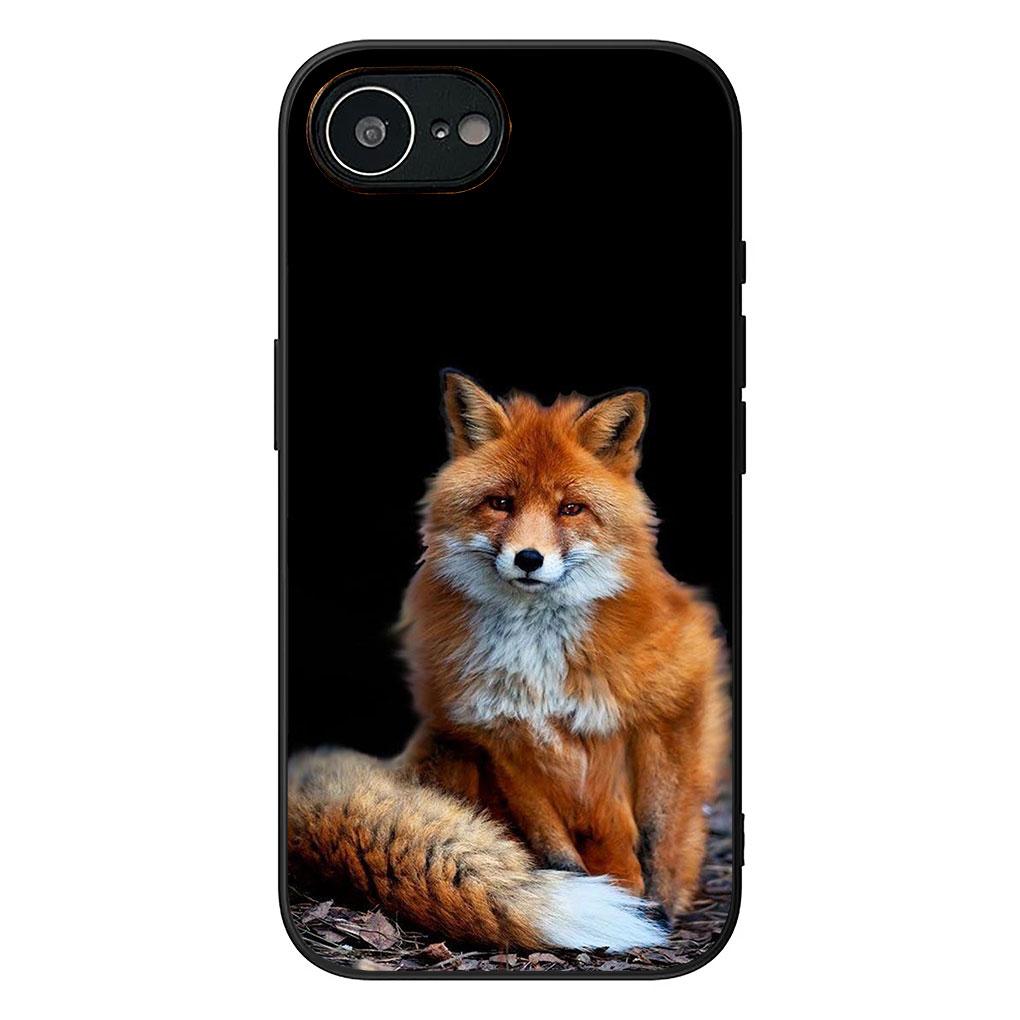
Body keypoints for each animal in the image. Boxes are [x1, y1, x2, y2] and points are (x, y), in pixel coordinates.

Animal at [287, 371, 730, 952]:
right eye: (500, 502)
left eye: (570, 509)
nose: (529, 559)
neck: (540, 660)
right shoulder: (498, 735)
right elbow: (553, 847)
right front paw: (604, 903)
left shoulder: (671, 699)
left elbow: (662, 827)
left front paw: (660, 903)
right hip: (447, 746)